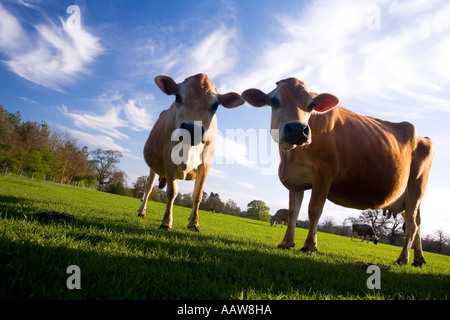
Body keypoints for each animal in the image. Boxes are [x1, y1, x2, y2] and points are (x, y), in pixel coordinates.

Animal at [137, 74, 244, 231]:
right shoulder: (168, 157)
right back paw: (142, 211)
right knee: (148, 187)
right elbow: (171, 192)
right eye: (177, 97)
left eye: (215, 105)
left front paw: (194, 223)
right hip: (153, 167)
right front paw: (166, 222)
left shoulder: (205, 163)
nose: (191, 128)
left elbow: (197, 195)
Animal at [243, 79, 436, 266]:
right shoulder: (296, 181)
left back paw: (403, 258)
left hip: (416, 190)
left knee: (412, 226)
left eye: (311, 105)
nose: (298, 129)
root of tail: (423, 137)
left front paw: (309, 246)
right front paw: (286, 243)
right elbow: (293, 212)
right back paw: (419, 259)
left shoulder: (324, 174)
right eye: (274, 101)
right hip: (406, 199)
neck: (291, 157)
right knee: (417, 224)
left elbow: (314, 210)